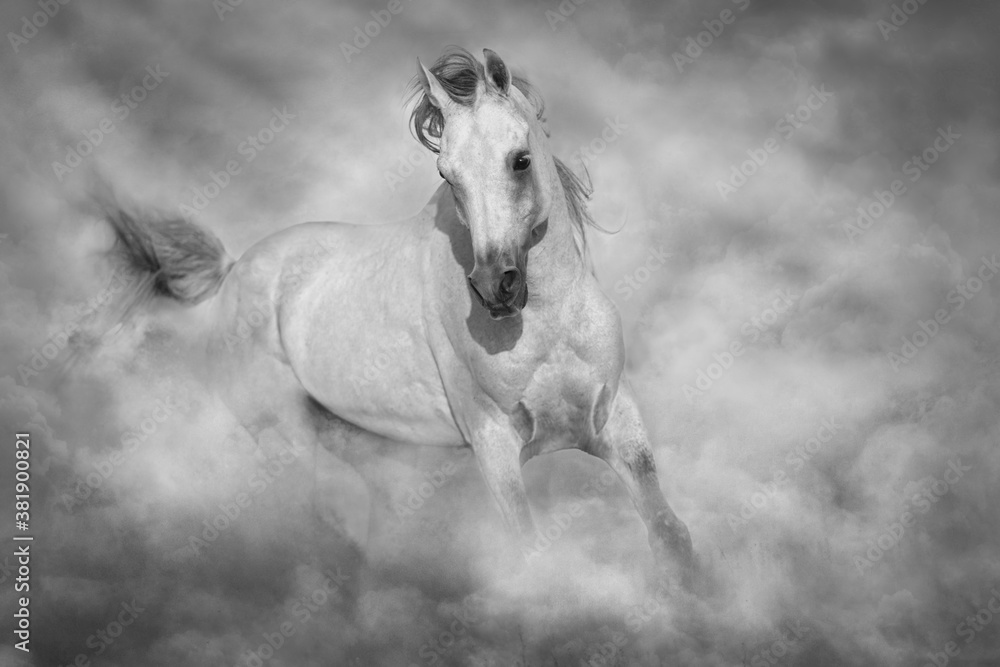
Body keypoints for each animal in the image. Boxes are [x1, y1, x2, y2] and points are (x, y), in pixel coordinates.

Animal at [101, 46, 695, 587]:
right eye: (447, 174)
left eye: (520, 159)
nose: (494, 286)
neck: (547, 328)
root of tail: (234, 271)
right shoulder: (495, 444)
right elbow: (532, 560)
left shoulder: (615, 420)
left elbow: (670, 537)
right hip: (284, 440)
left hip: (373, 450)